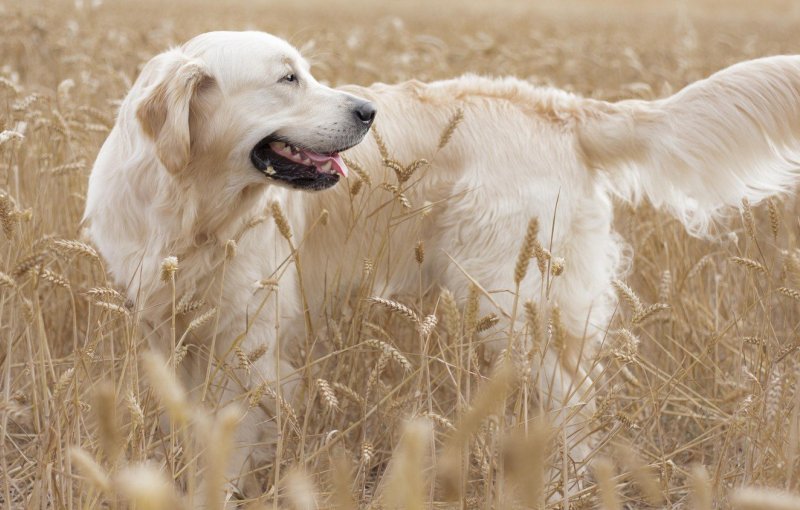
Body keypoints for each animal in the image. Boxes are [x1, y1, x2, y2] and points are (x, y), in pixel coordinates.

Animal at [83, 30, 800, 498]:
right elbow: (188, 426)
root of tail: (560, 108)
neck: (191, 208)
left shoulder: (248, 342)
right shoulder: (168, 329)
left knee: (574, 414)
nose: (367, 110)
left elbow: (230, 437)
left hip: (514, 304)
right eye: (287, 79)